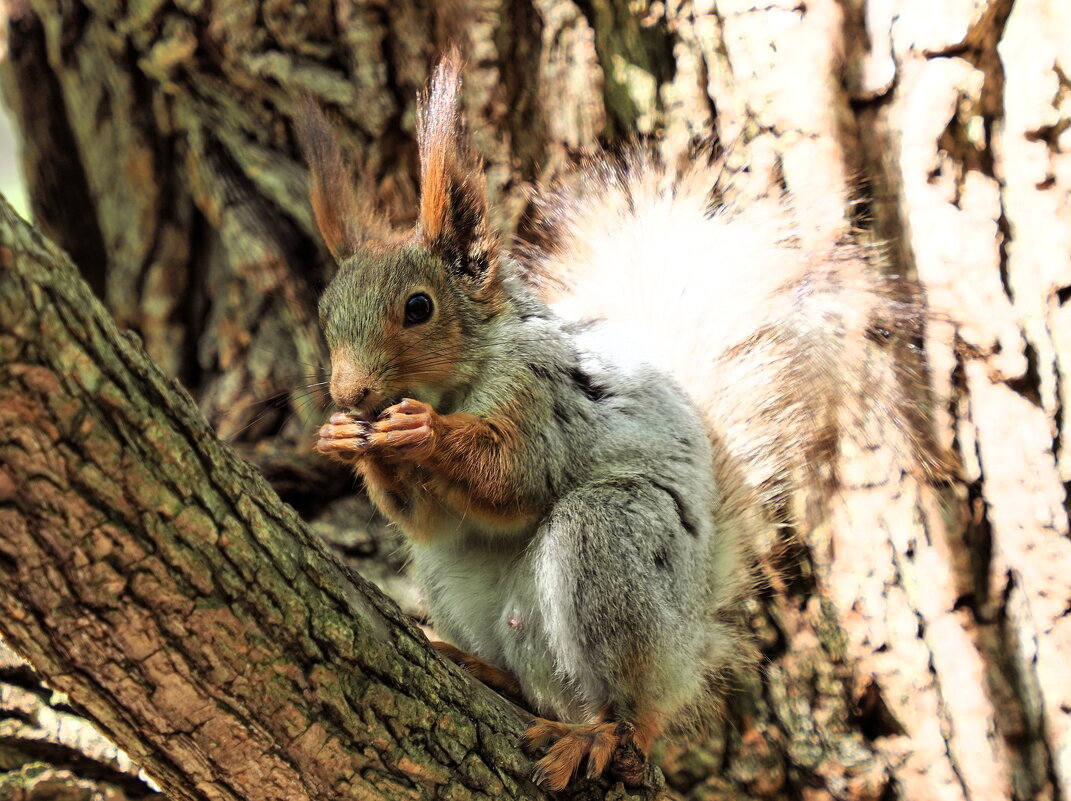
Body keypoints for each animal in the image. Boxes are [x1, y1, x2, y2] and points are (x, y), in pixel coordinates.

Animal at [299, 51, 929, 796]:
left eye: (418, 308)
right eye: (325, 314)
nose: (350, 391)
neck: (460, 380)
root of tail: (686, 649)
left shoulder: (541, 393)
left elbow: (512, 476)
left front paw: (421, 432)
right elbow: (427, 518)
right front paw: (347, 439)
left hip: (614, 540)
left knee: (628, 708)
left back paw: (600, 734)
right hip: (457, 584)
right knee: (526, 675)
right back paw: (490, 673)